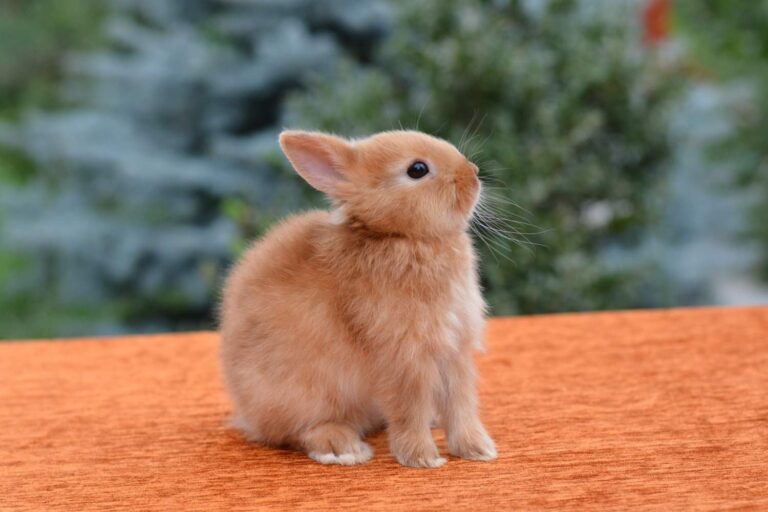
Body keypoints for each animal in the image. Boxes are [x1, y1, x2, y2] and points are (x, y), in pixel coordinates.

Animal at [219, 129, 496, 468]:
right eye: (417, 169)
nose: (473, 173)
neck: (400, 237)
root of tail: (247, 414)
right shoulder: (402, 357)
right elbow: (410, 409)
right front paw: (422, 458)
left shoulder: (455, 351)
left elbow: (461, 404)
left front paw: (478, 449)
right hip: (302, 397)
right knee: (301, 431)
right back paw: (343, 447)